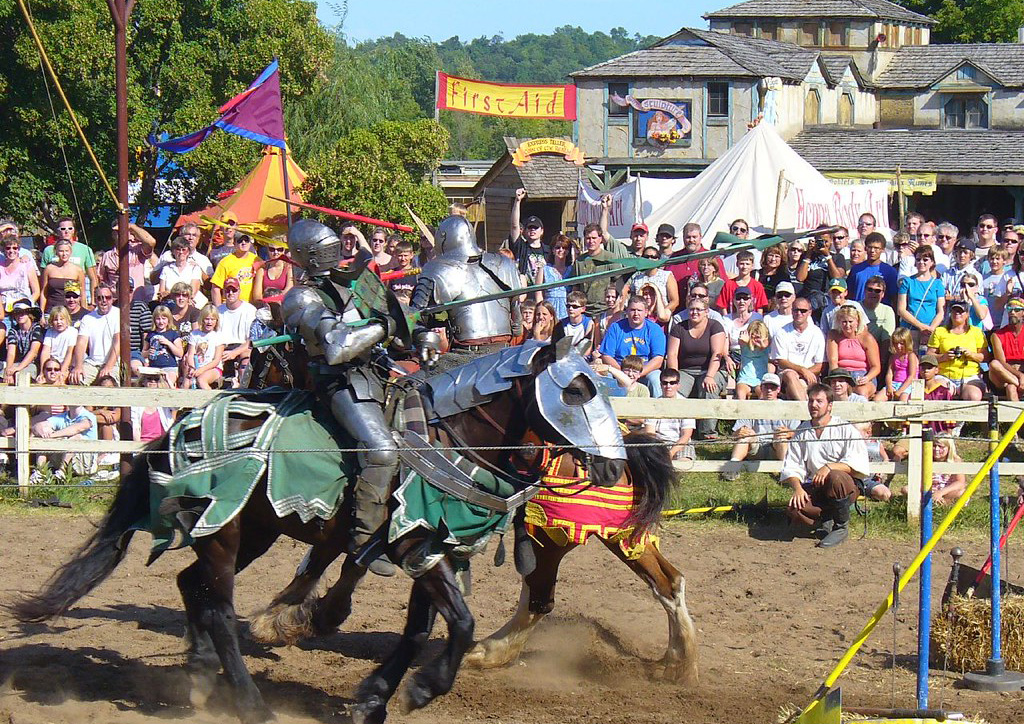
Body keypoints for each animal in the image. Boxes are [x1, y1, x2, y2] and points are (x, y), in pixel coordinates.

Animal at [12, 335, 626, 724]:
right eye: (575, 391)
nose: (615, 469)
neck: (449, 435)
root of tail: (179, 424)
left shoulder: (430, 550)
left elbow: (420, 631)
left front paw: (374, 700)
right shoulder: (414, 542)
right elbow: (461, 623)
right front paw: (420, 690)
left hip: (250, 530)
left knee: (193, 586)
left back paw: (202, 675)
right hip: (225, 529)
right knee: (216, 605)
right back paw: (250, 703)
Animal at [462, 436, 696, 684]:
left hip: (549, 536)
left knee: (538, 600)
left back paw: (486, 652)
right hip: (620, 532)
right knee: (670, 582)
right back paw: (677, 663)